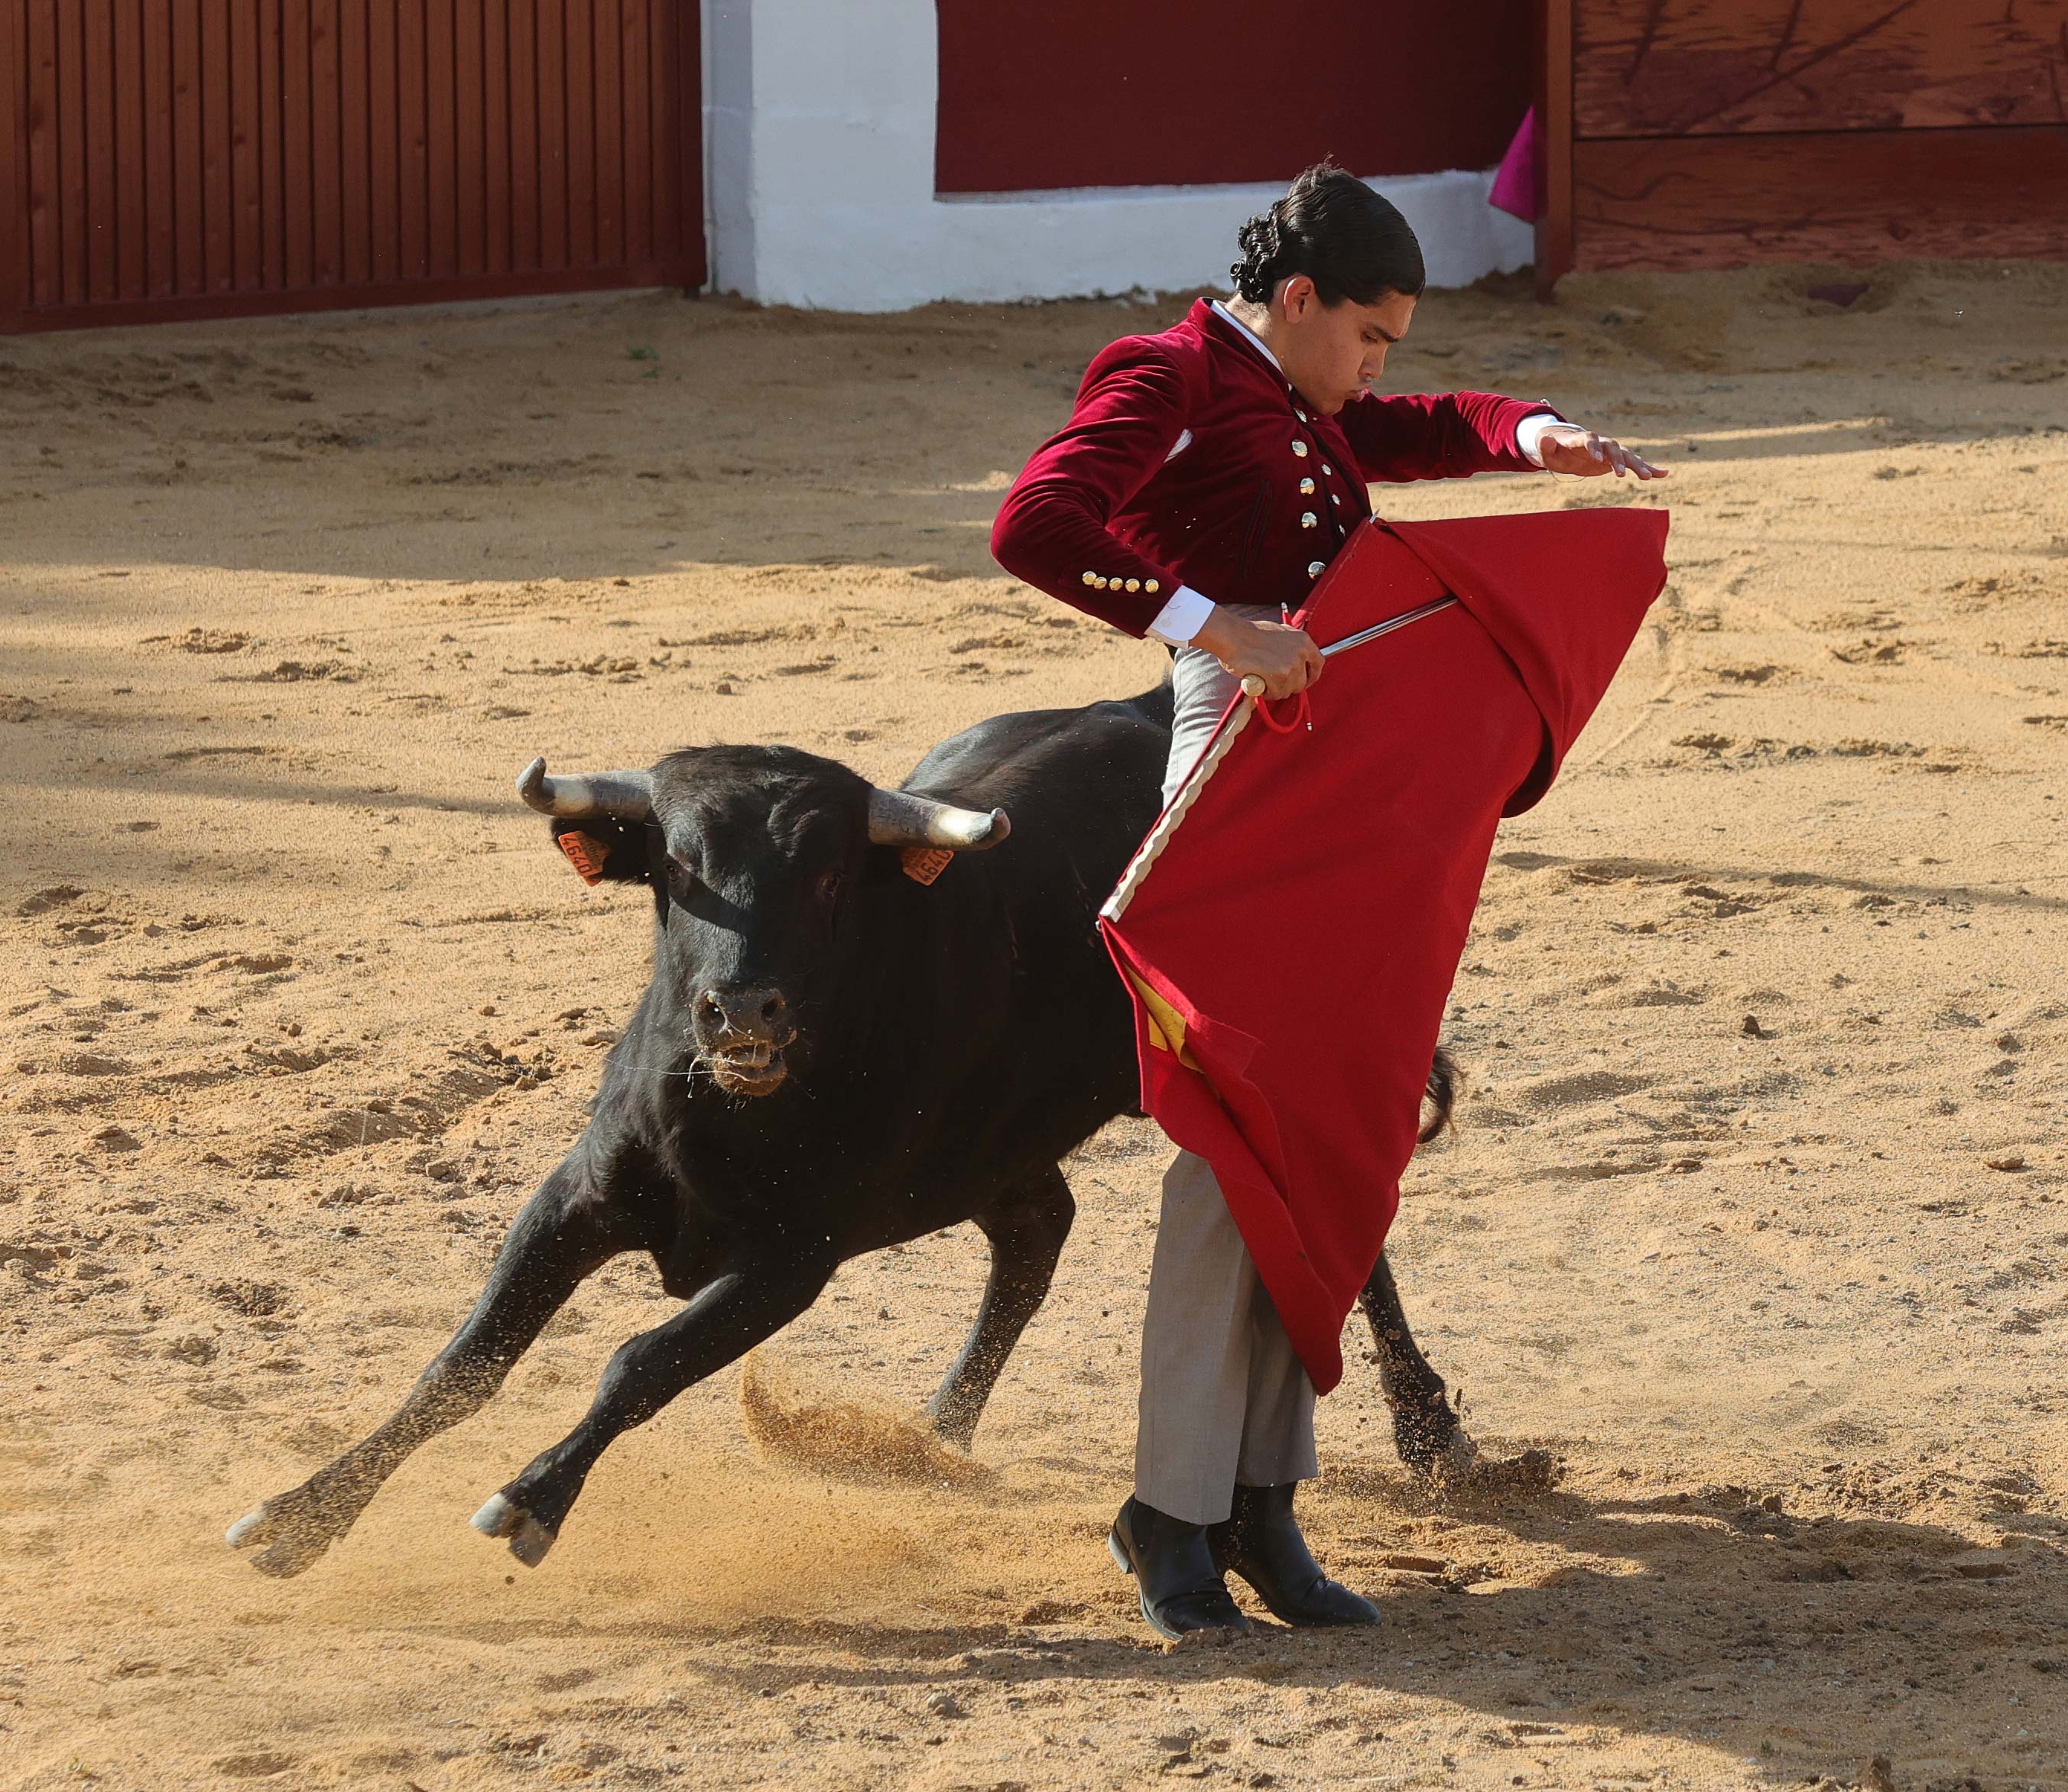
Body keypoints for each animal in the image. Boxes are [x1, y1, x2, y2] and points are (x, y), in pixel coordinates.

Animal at [230, 677, 1521, 1579]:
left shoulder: (792, 1259)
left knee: (1330, 1220)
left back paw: (1436, 1440)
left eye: (826, 879)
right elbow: (466, 1361)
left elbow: (638, 1358)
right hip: (996, 1144)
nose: (742, 1007)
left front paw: (530, 1501)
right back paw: (928, 1443)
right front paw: (301, 1517)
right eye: (676, 867)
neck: (732, 1113)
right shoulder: (579, 1197)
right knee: (1036, 1233)